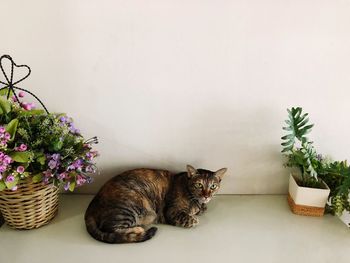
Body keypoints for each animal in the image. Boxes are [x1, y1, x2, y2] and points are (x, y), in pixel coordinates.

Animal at [84, 166, 227, 244]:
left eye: (213, 186)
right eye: (199, 185)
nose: (206, 195)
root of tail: (92, 204)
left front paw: (201, 208)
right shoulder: (172, 211)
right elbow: (189, 218)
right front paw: (194, 218)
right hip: (132, 205)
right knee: (109, 227)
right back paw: (138, 229)